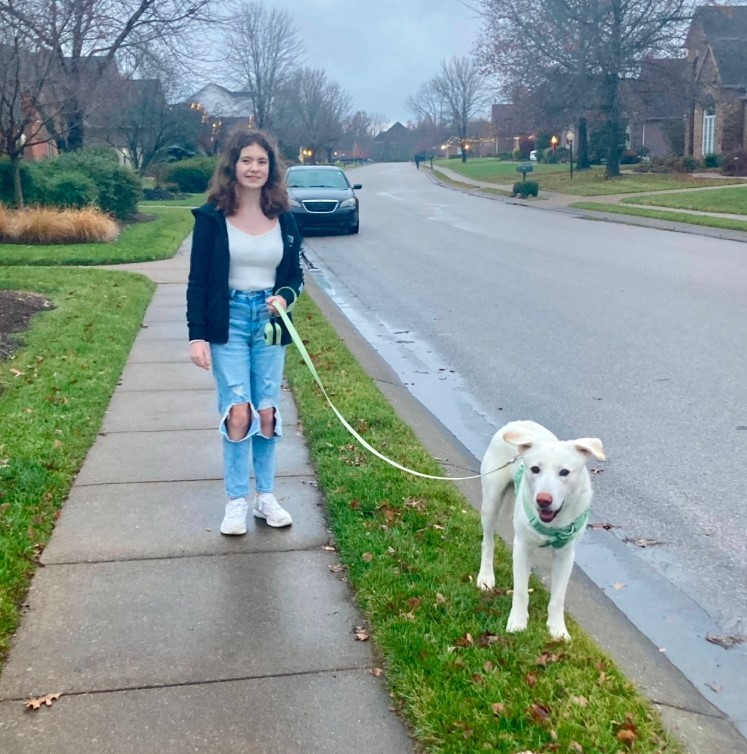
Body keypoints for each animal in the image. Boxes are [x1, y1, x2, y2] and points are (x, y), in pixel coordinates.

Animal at [476, 420, 604, 636]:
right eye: (535, 469)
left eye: (564, 472)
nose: (543, 500)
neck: (553, 523)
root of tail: (517, 422)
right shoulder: (522, 546)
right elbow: (520, 591)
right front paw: (518, 622)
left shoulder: (565, 555)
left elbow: (558, 597)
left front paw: (557, 629)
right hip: (491, 502)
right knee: (488, 541)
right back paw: (485, 576)